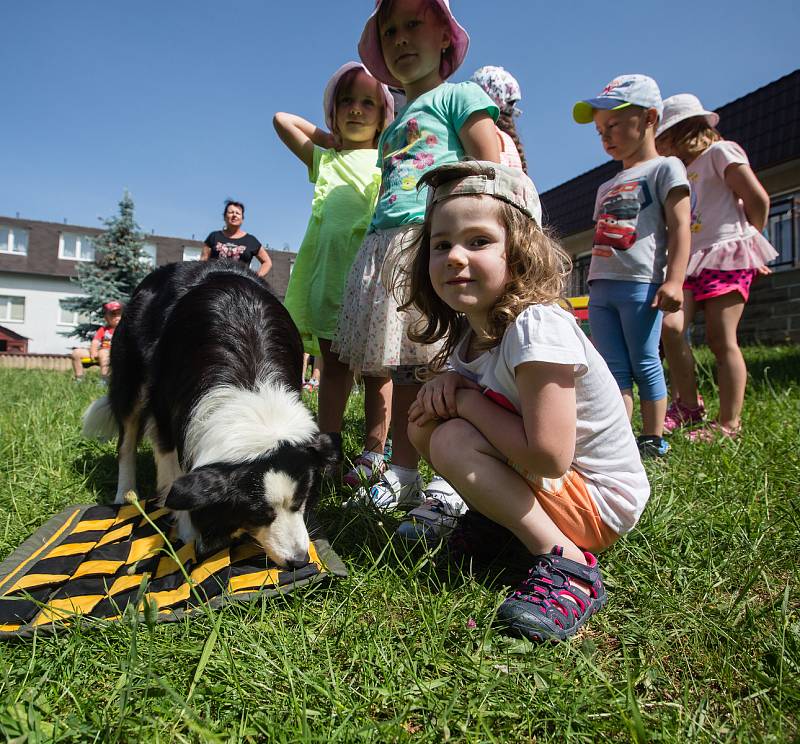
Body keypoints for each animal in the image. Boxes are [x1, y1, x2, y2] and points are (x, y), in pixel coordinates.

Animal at [84, 258, 338, 568]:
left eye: (303, 502)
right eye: (258, 514)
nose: (299, 561)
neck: (252, 385)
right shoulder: (165, 415)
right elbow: (175, 477)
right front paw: (189, 533)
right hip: (131, 377)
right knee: (126, 442)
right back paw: (125, 495)